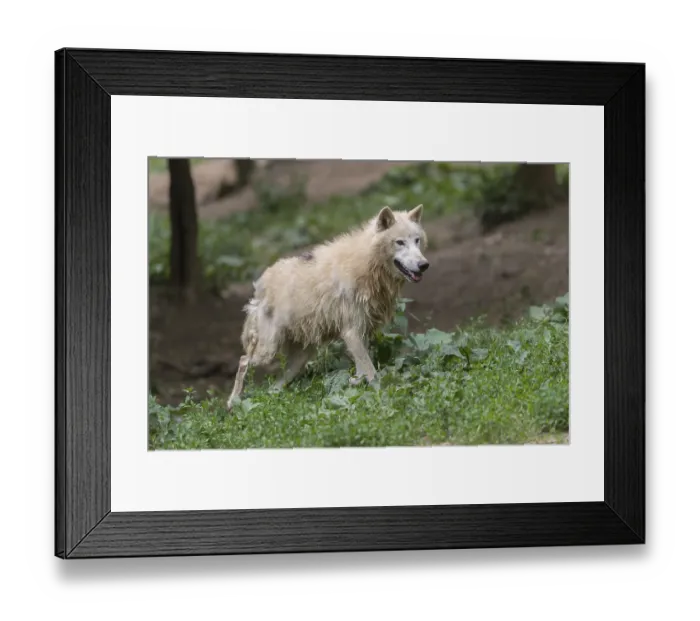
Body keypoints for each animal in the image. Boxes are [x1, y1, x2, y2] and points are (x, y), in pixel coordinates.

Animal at [226, 204, 430, 409]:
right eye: (400, 242)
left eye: (417, 240)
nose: (424, 265)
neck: (367, 264)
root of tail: (260, 284)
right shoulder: (351, 332)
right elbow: (372, 373)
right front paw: (382, 395)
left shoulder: (361, 332)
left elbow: (362, 369)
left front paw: (355, 384)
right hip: (268, 350)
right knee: (243, 361)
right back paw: (232, 402)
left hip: (301, 358)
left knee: (276, 384)